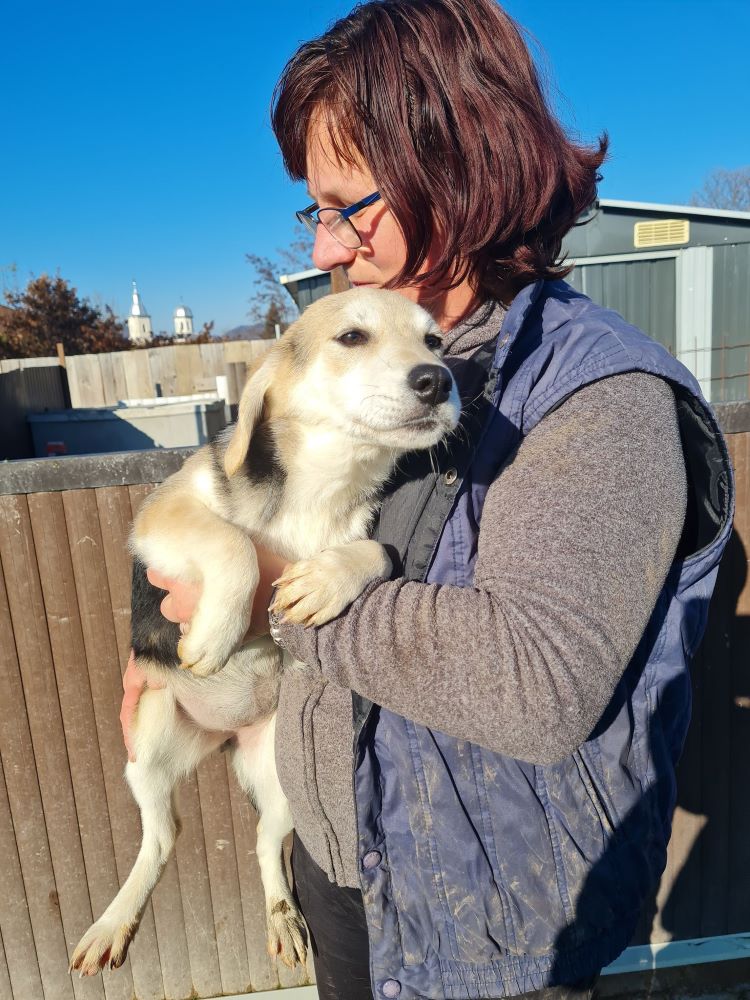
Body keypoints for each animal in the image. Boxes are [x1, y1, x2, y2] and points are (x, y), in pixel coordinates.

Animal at [70, 288, 462, 976]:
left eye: (434, 341)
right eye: (352, 337)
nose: (438, 380)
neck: (324, 485)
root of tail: (221, 738)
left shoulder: (365, 533)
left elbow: (378, 551)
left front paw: (325, 581)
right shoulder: (163, 513)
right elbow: (232, 542)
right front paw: (216, 633)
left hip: (279, 772)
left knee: (257, 841)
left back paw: (282, 916)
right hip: (148, 734)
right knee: (161, 836)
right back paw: (114, 922)